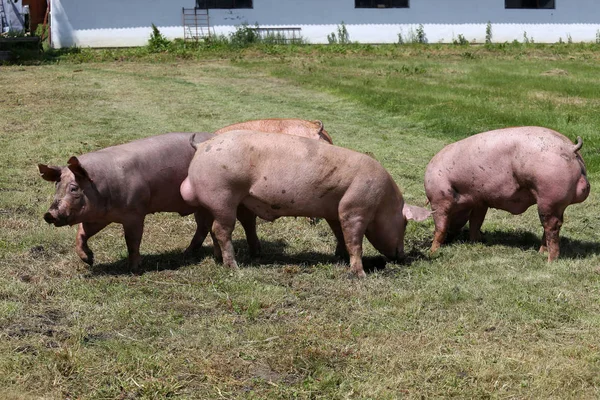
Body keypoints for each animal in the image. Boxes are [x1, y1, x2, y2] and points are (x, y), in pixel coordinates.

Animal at [37, 133, 262, 270]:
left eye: (74, 188)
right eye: (57, 186)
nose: (49, 214)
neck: (101, 186)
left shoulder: (135, 212)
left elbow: (132, 240)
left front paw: (134, 268)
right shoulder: (98, 217)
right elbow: (82, 232)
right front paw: (89, 261)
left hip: (235, 199)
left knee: (247, 222)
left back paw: (255, 254)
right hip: (202, 204)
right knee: (204, 225)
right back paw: (189, 254)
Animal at [179, 131, 432, 278]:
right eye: (405, 224)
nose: (402, 257)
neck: (383, 202)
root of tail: (202, 146)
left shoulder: (335, 210)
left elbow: (339, 234)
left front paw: (339, 257)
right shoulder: (355, 208)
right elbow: (355, 241)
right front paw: (360, 275)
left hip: (222, 201)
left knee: (215, 228)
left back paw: (222, 260)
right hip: (223, 194)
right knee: (221, 230)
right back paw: (234, 267)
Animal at [426, 126, 592, 260]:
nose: (451, 238)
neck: (463, 194)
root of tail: (570, 148)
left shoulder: (439, 198)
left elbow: (440, 228)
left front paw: (432, 251)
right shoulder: (480, 201)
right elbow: (475, 222)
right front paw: (477, 241)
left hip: (548, 196)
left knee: (552, 226)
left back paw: (550, 260)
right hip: (557, 203)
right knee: (554, 224)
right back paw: (541, 253)